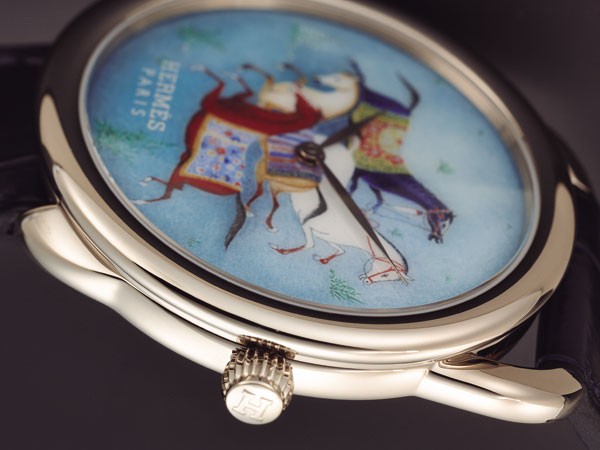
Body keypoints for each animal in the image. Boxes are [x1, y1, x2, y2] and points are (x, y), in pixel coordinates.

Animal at [133, 66, 322, 247]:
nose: (297, 87)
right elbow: (240, 87)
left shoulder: (213, 100)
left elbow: (222, 84)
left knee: (170, 193)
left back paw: (141, 199)